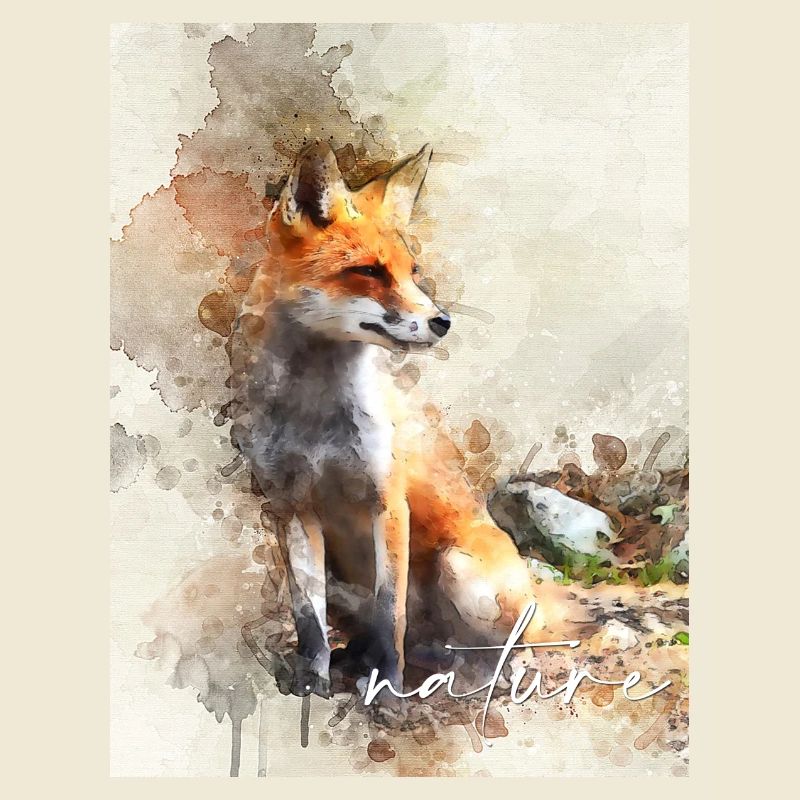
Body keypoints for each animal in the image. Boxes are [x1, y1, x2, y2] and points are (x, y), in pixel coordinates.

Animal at [226, 141, 660, 702]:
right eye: (369, 271)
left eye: (413, 271)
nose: (443, 321)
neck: (314, 418)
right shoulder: (293, 509)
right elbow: (309, 619)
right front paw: (311, 681)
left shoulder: (388, 502)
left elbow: (391, 615)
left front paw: (386, 688)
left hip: (462, 571)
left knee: (512, 642)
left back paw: (484, 677)